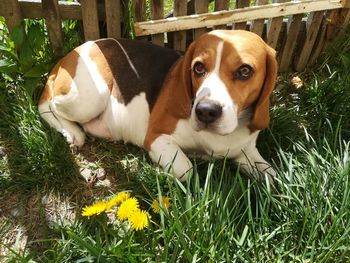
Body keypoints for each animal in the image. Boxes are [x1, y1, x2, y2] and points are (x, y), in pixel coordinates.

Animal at [38, 29, 278, 182]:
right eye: (198, 68)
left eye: (245, 71)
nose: (206, 112)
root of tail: (75, 50)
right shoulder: (156, 137)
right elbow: (186, 170)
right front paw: (160, 174)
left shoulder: (246, 153)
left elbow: (275, 178)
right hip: (90, 97)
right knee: (46, 103)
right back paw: (72, 131)